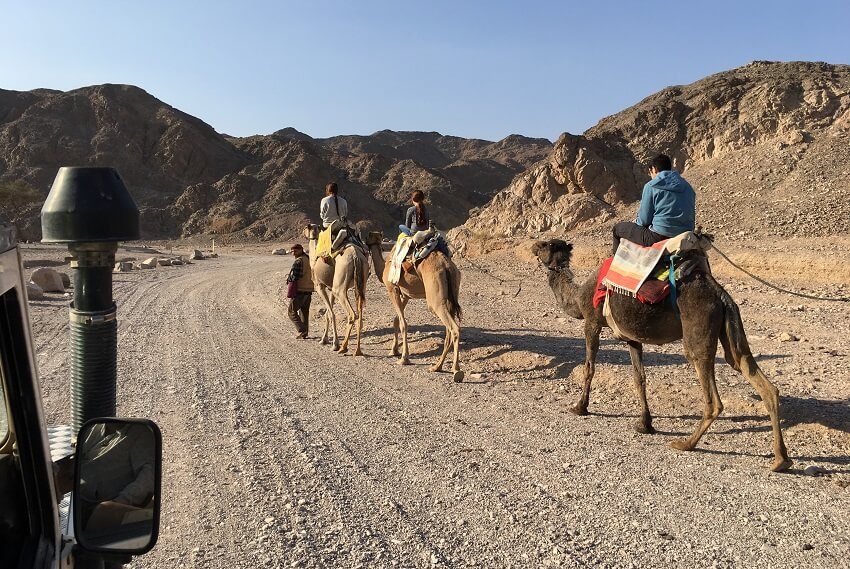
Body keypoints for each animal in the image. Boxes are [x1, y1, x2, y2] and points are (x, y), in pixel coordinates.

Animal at [304, 223, 372, 352]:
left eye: (306, 228)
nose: (302, 232)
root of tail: (355, 256)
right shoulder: (331, 288)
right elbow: (327, 314)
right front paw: (324, 339)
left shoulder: (320, 286)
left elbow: (331, 314)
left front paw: (334, 343)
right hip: (361, 283)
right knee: (360, 315)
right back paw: (358, 350)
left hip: (340, 288)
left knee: (352, 314)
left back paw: (343, 347)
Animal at [360, 231, 460, 382]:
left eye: (368, 236)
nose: (364, 241)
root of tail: (447, 266)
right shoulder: (406, 294)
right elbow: (396, 320)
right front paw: (393, 350)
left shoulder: (393, 289)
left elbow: (403, 323)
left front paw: (404, 358)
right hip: (451, 293)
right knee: (449, 328)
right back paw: (437, 367)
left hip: (435, 298)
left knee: (453, 328)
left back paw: (456, 370)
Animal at [532, 237, 792, 472]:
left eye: (545, 244)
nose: (533, 246)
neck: (577, 298)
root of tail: (720, 294)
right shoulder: (632, 336)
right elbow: (639, 378)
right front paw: (645, 423)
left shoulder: (592, 321)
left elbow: (589, 368)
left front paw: (580, 407)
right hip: (729, 326)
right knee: (749, 369)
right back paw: (781, 460)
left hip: (697, 329)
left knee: (711, 394)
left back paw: (686, 443)